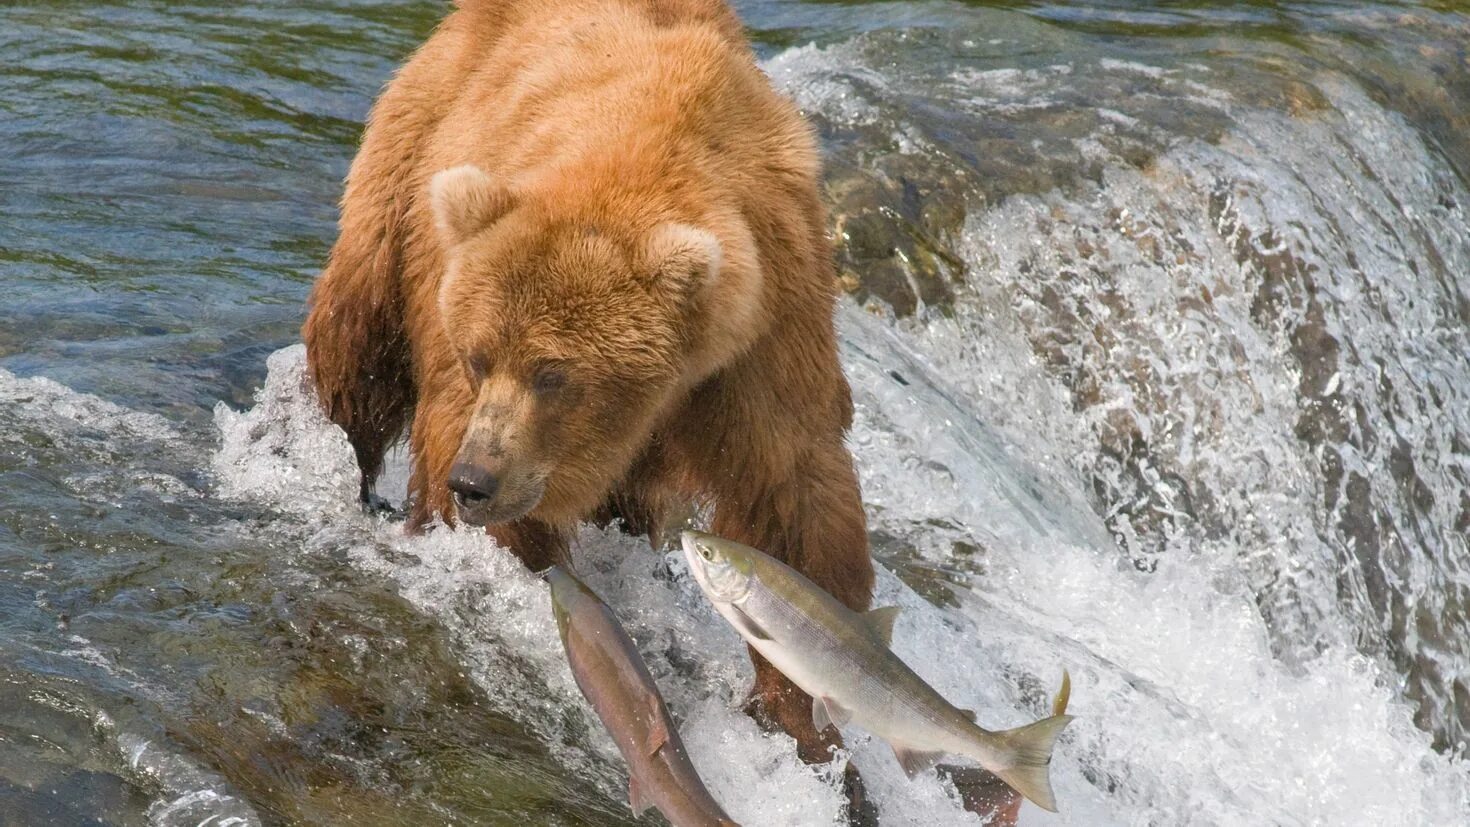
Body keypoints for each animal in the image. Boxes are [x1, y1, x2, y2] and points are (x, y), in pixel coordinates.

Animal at [298, 0, 870, 810]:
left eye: (553, 373)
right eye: (480, 356)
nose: (475, 481)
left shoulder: (764, 335)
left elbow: (791, 503)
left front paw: (807, 720)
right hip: (411, 158)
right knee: (359, 338)